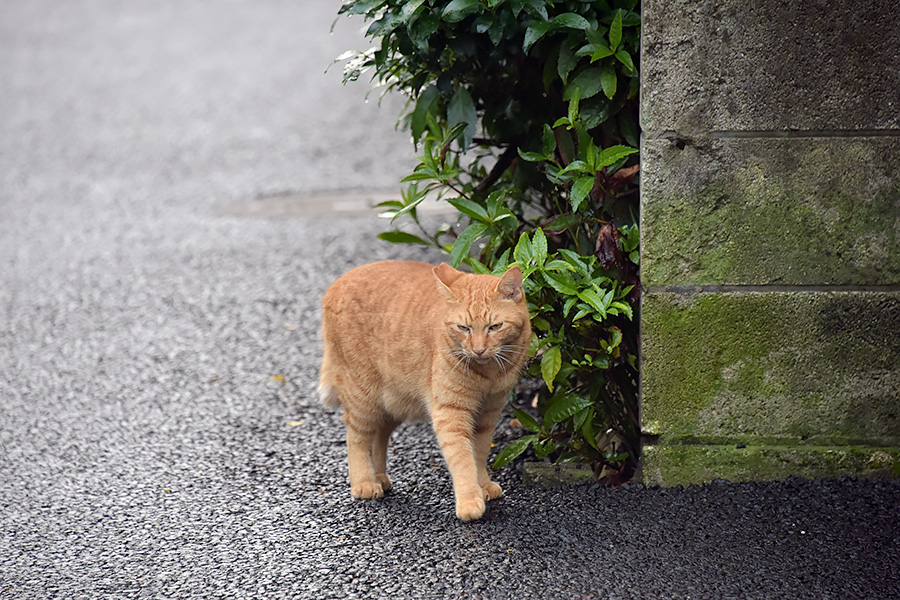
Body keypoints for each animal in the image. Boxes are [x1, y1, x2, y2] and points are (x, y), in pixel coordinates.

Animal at [318, 262, 532, 520]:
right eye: (464, 328)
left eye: (495, 327)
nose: (478, 350)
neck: (487, 374)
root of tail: (336, 283)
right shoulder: (450, 413)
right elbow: (462, 458)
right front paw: (470, 500)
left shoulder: (489, 413)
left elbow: (479, 453)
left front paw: (482, 485)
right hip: (362, 394)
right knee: (357, 436)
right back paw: (365, 482)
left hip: (393, 402)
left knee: (378, 434)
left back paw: (379, 476)